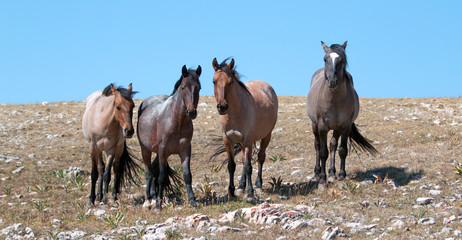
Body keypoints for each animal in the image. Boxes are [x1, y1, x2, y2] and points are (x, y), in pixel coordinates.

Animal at [138, 65, 201, 208]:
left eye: (199, 87)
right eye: (183, 87)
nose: (191, 112)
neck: (176, 121)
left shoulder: (185, 150)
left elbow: (187, 175)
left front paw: (193, 201)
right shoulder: (163, 150)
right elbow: (161, 177)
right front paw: (158, 205)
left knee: (153, 170)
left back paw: (153, 196)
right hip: (146, 149)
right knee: (148, 172)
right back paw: (149, 200)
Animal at [212, 57, 278, 201]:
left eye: (230, 82)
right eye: (214, 81)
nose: (222, 107)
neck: (234, 114)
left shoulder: (247, 140)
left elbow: (248, 166)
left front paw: (250, 193)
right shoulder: (228, 140)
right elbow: (232, 165)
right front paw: (231, 192)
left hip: (266, 136)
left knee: (260, 157)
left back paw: (258, 185)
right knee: (243, 160)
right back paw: (241, 186)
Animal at [304, 41, 378, 185]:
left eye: (341, 60)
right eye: (325, 59)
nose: (332, 81)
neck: (335, 101)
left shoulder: (345, 125)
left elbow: (342, 150)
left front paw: (341, 175)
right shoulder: (322, 126)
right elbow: (323, 152)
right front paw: (323, 178)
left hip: (336, 128)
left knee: (333, 145)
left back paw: (332, 173)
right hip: (314, 125)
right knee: (317, 146)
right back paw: (317, 172)